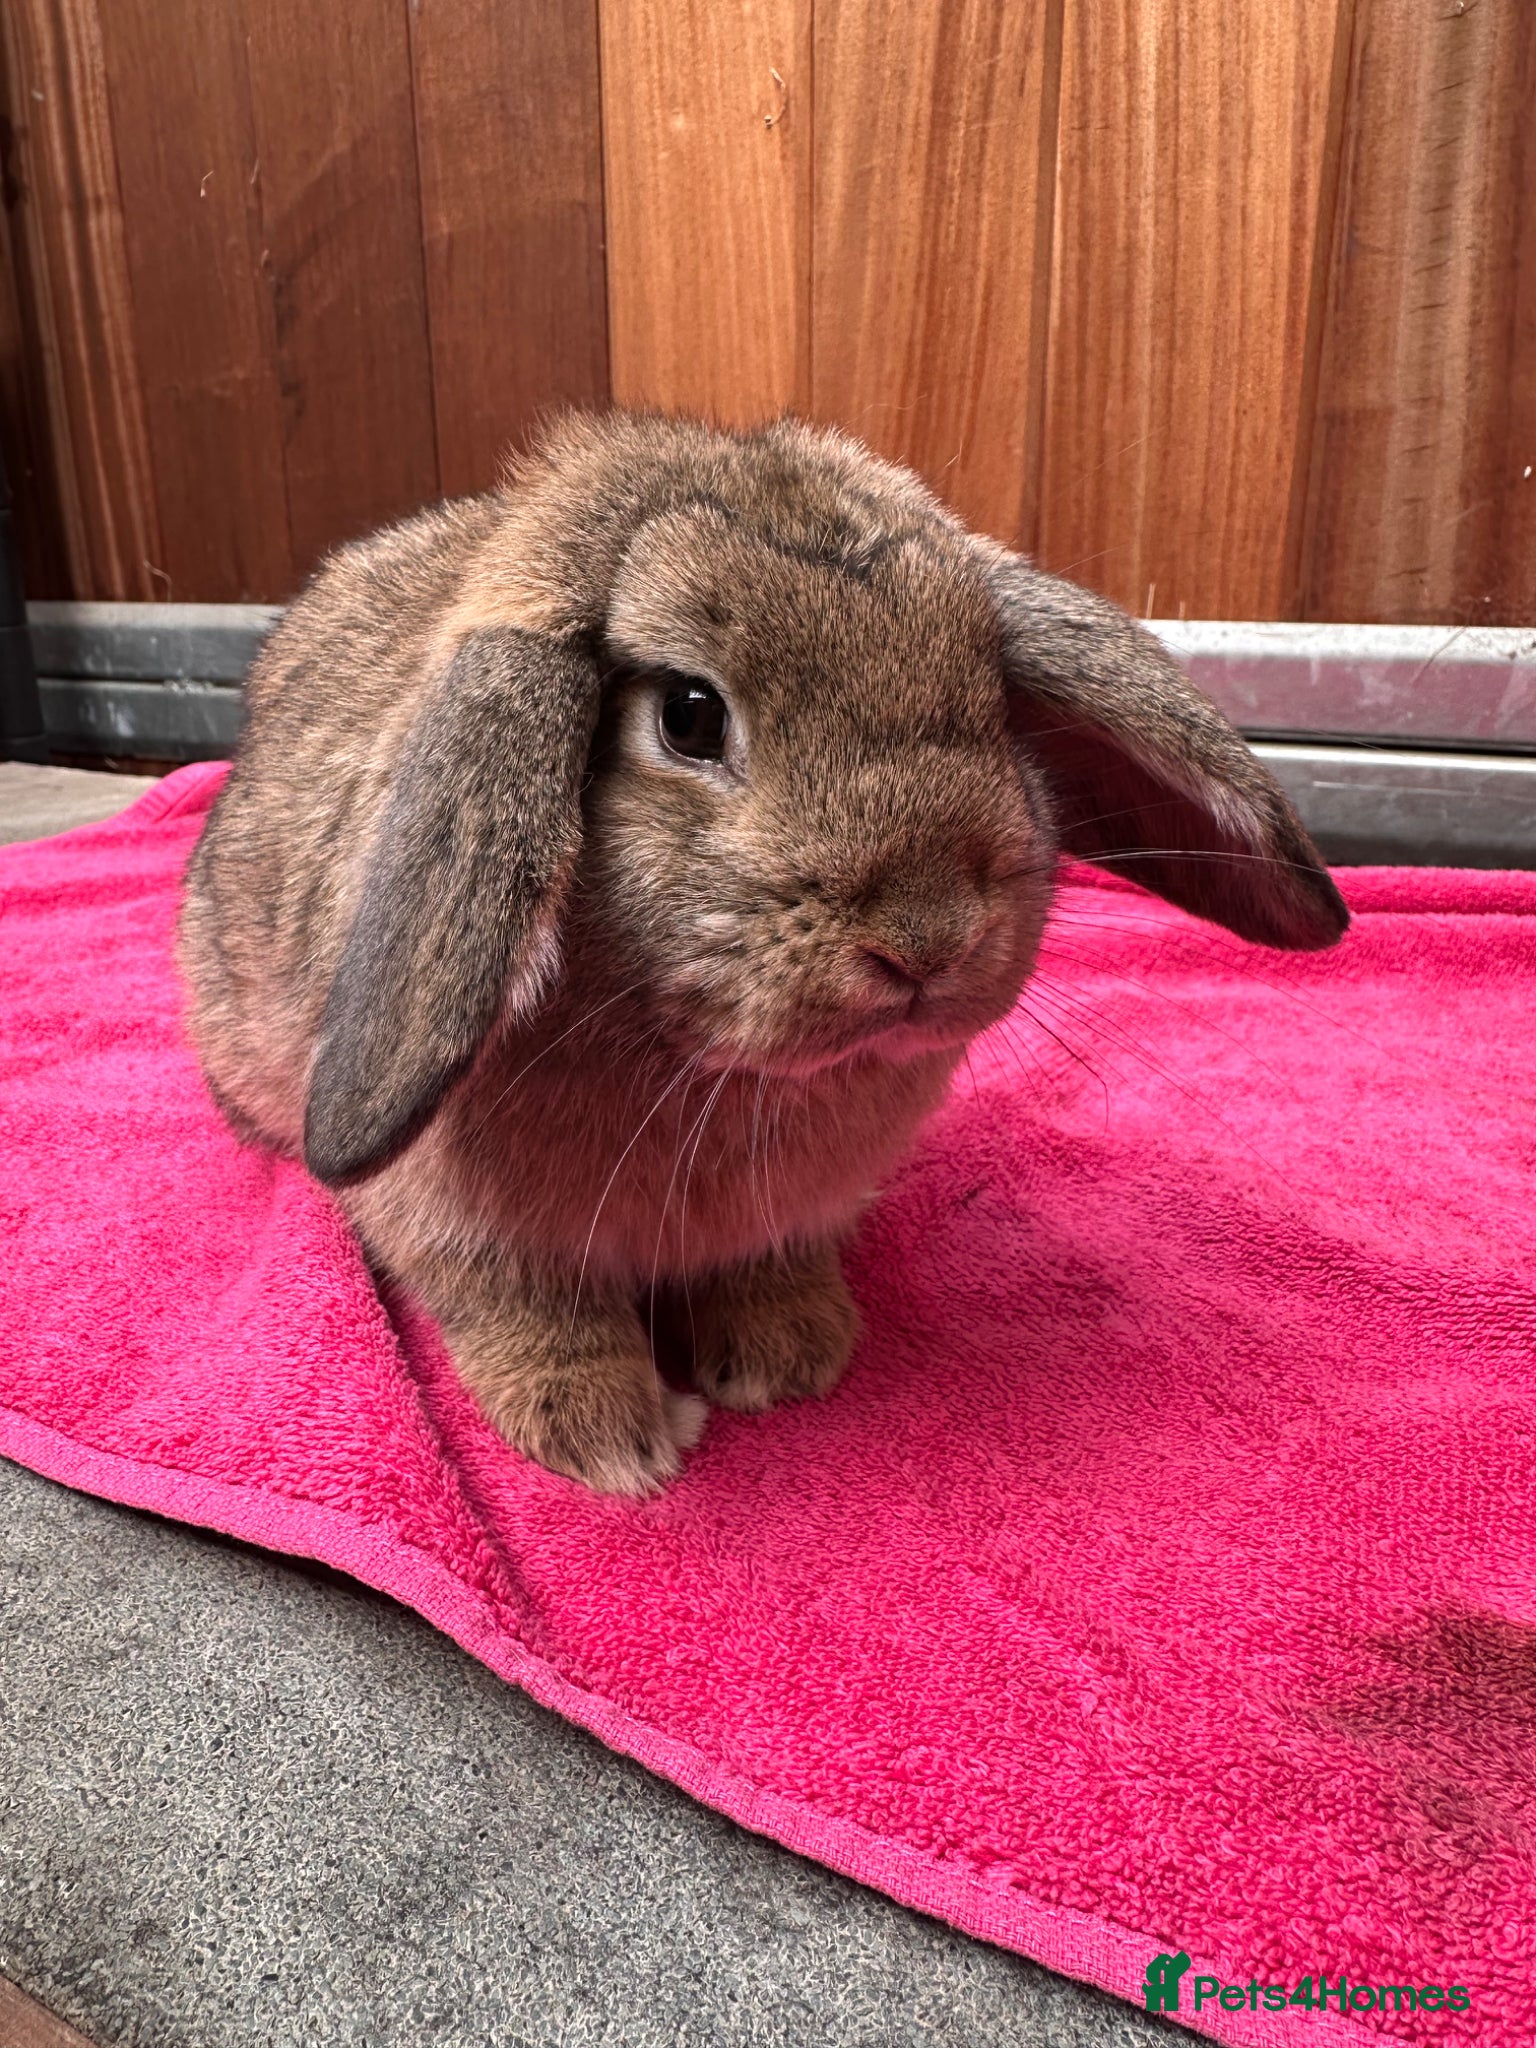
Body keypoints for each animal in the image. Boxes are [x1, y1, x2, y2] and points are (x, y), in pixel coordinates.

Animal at [179, 410, 1348, 1494]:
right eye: (690, 715)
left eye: (991, 703)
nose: (926, 937)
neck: (703, 1070)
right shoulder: (469, 1234)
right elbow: (535, 1312)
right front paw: (607, 1436)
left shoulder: (790, 1217)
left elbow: (767, 1270)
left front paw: (789, 1359)